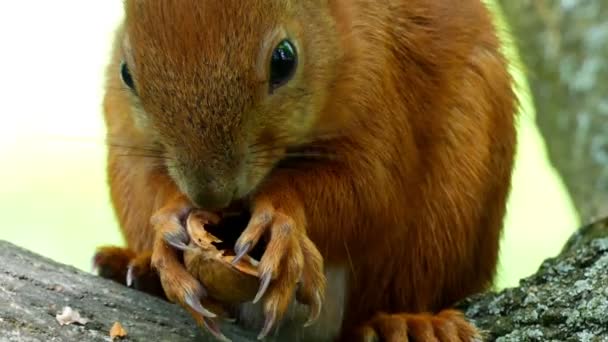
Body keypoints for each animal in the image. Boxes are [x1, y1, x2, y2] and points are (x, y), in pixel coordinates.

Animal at [92, 1, 516, 340]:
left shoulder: (381, 88)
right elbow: (151, 183)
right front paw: (168, 223)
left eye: (285, 59)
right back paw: (138, 268)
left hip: (447, 215)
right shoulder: (129, 131)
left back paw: (409, 323)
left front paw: (281, 217)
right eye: (127, 73)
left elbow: (371, 189)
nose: (211, 194)